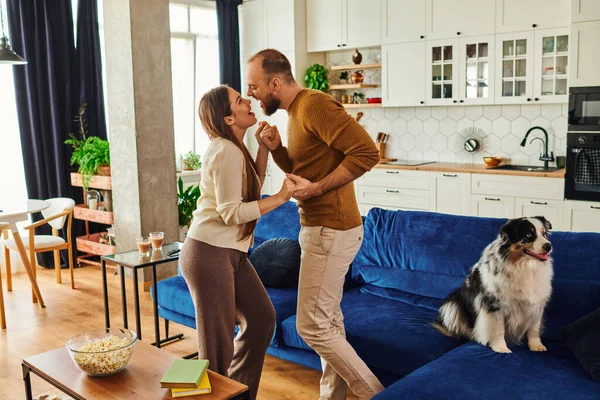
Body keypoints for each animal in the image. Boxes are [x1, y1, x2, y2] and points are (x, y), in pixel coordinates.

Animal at [434, 216, 556, 354]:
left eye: (544, 234)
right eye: (528, 235)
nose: (549, 246)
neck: (525, 267)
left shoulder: (536, 305)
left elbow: (534, 328)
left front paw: (536, 346)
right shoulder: (494, 305)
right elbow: (498, 329)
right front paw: (501, 348)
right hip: (453, 304)